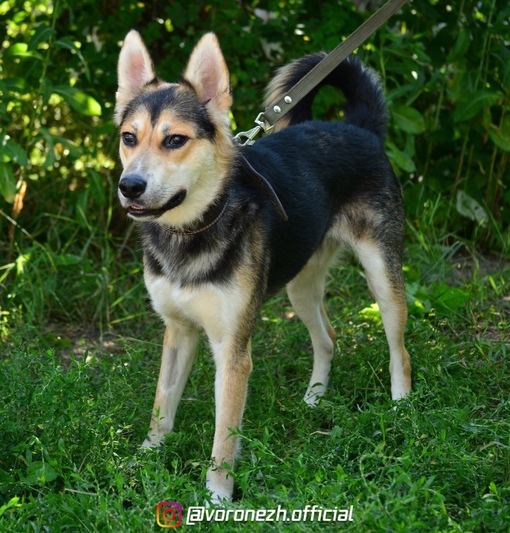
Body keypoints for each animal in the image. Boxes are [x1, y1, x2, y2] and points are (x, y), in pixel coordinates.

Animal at [114, 30, 410, 502]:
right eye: (129, 137)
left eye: (175, 140)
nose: (130, 186)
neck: (192, 228)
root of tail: (357, 126)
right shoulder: (178, 331)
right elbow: (162, 405)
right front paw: (144, 458)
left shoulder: (232, 351)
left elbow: (224, 435)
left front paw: (217, 495)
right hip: (299, 286)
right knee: (328, 338)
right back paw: (314, 398)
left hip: (382, 275)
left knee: (400, 351)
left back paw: (401, 409)